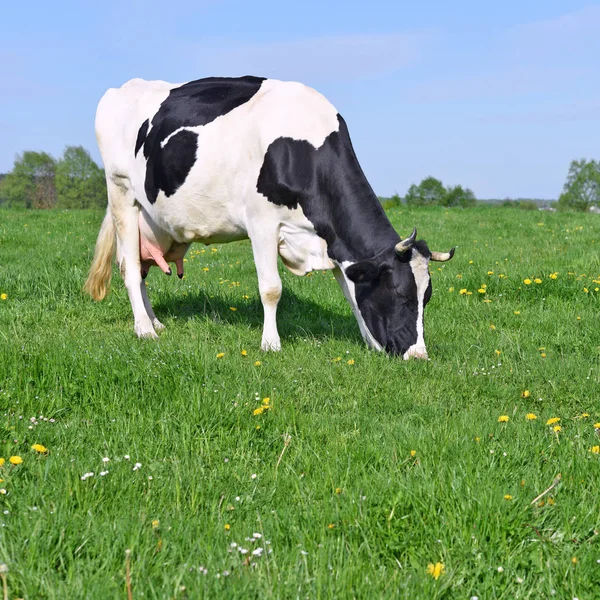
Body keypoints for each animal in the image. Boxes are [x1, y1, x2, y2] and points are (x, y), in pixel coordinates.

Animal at [82, 74, 452, 356]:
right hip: (121, 192)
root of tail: (123, 88)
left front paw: (367, 340)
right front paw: (270, 344)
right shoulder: (261, 222)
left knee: (139, 266)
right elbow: (271, 288)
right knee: (130, 268)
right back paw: (145, 329)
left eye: (427, 297)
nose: (418, 355)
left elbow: (350, 292)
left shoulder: (334, 242)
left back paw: (155, 320)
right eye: (400, 294)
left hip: (150, 219)